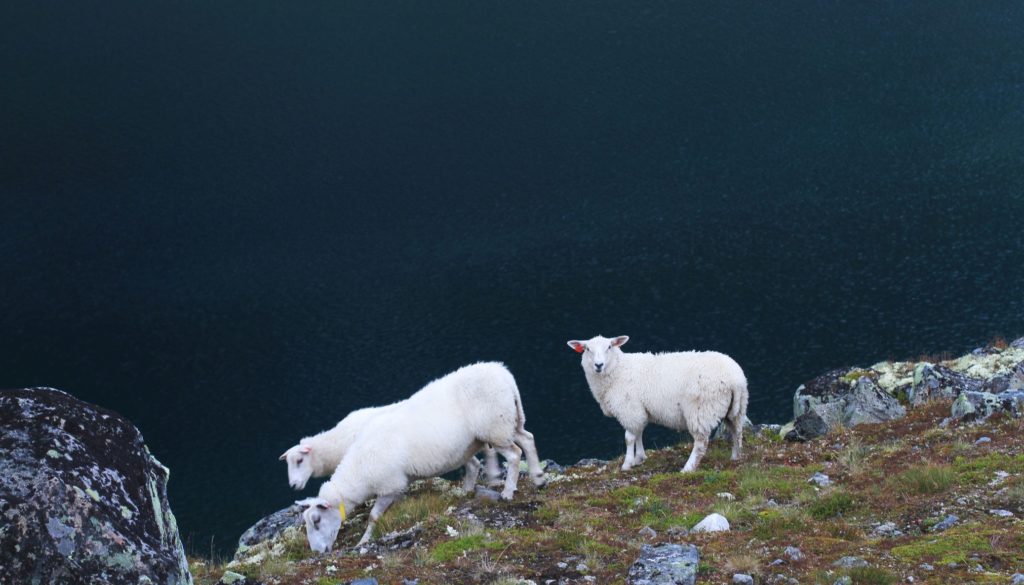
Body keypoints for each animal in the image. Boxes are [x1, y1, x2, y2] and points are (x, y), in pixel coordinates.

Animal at [565, 336, 749, 473]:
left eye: (609, 346)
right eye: (587, 349)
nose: (598, 365)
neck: (618, 370)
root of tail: (736, 379)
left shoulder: (629, 409)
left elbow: (629, 438)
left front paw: (627, 464)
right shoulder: (639, 411)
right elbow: (639, 433)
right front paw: (639, 458)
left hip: (700, 411)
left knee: (701, 443)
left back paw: (688, 468)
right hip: (736, 408)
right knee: (737, 431)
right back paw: (735, 457)